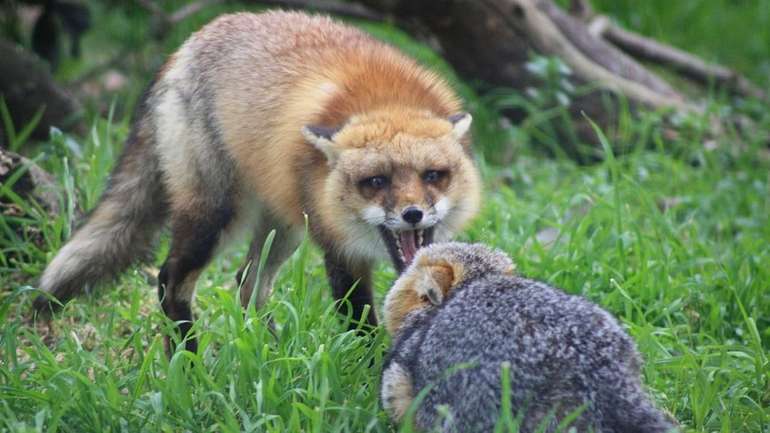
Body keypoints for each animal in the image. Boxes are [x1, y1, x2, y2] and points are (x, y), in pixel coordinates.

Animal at [37, 10, 480, 352]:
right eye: (375, 181)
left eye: (433, 176)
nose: (412, 214)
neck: (385, 100)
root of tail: (186, 46)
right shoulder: (338, 248)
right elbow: (360, 325)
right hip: (215, 216)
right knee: (170, 279)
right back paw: (187, 361)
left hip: (283, 225)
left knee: (247, 284)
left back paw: (272, 354)